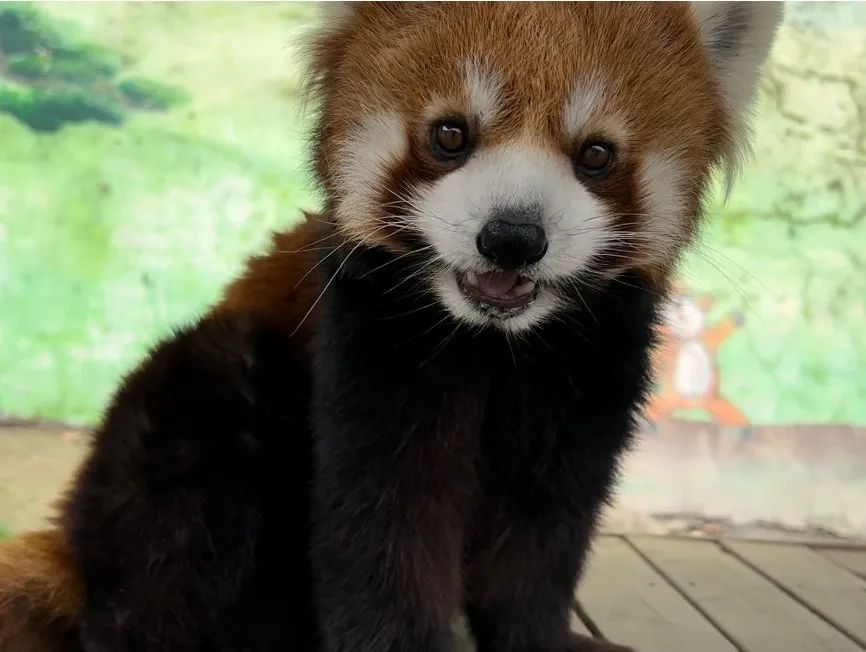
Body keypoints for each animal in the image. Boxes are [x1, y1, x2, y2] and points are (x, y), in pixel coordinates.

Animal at [0, 2, 780, 648]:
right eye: (450, 134)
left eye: (596, 154)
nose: (512, 237)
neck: (493, 342)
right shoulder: (369, 345)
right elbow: (381, 529)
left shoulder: (588, 373)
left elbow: (540, 538)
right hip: (189, 428)